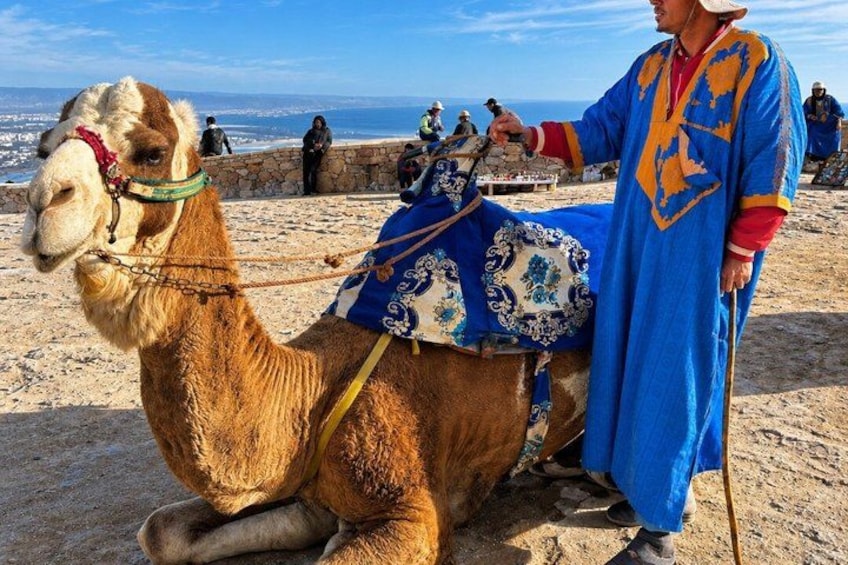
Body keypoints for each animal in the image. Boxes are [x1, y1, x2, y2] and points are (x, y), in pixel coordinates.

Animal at [21, 77, 593, 564]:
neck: (309, 391)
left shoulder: (416, 511)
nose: (43, 200)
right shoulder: (300, 483)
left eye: (152, 152)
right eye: (43, 147)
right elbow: (161, 532)